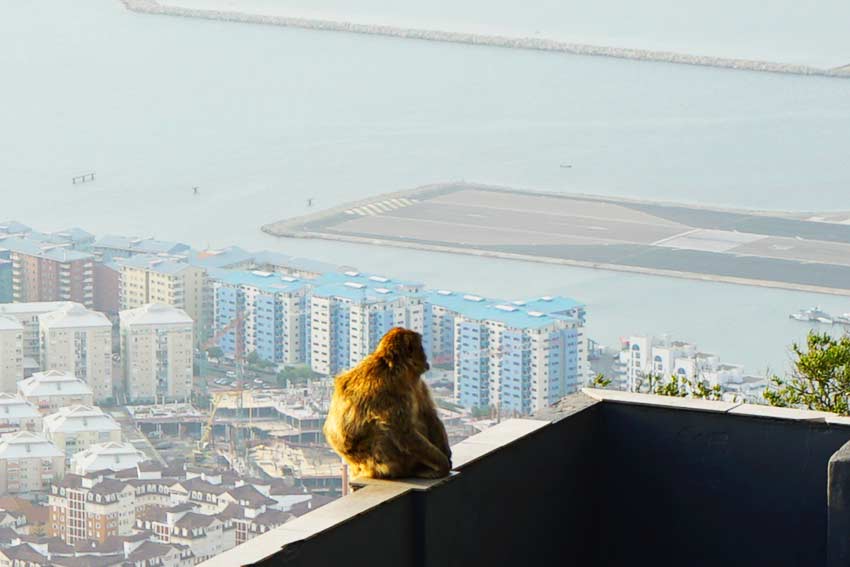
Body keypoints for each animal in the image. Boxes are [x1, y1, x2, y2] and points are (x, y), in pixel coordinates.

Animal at [323, 327, 452, 479]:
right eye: (420, 348)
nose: (426, 358)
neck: (395, 368)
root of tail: (357, 467)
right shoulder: (389, 390)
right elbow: (403, 433)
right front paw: (443, 464)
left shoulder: (417, 384)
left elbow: (428, 413)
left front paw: (447, 454)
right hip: (381, 463)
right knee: (384, 433)